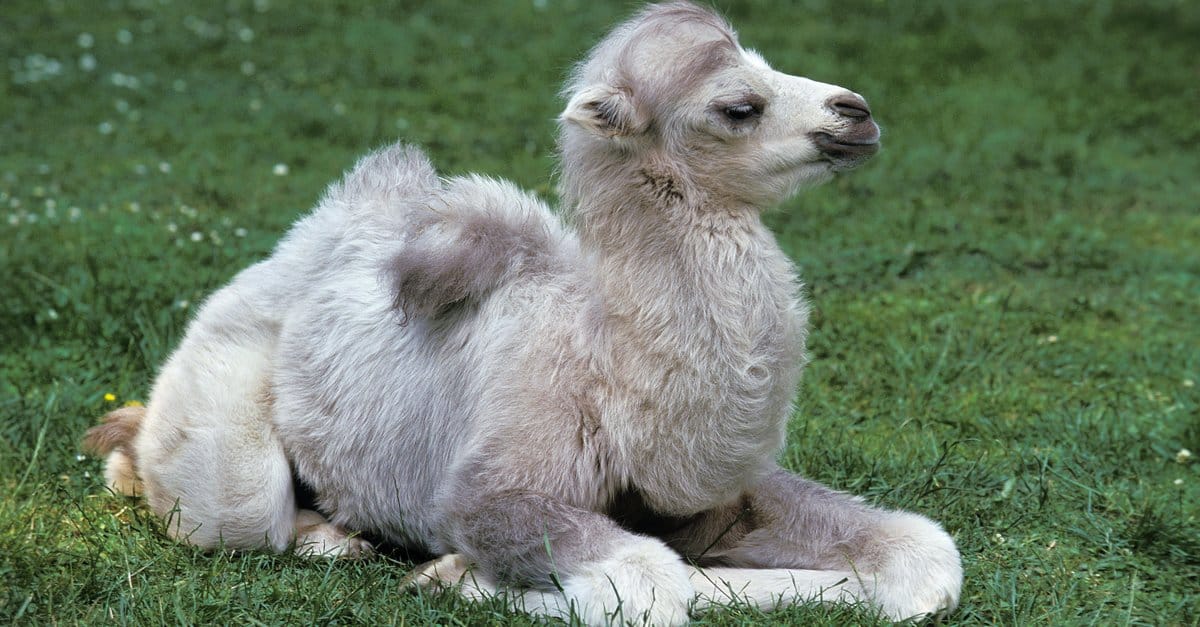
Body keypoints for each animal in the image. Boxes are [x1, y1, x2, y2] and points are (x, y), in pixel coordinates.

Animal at [85, 2, 961, 624]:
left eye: (771, 62)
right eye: (739, 105)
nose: (856, 112)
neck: (613, 368)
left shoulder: (715, 493)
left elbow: (928, 558)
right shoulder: (495, 485)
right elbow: (645, 585)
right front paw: (451, 574)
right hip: (222, 397)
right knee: (225, 503)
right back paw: (324, 535)